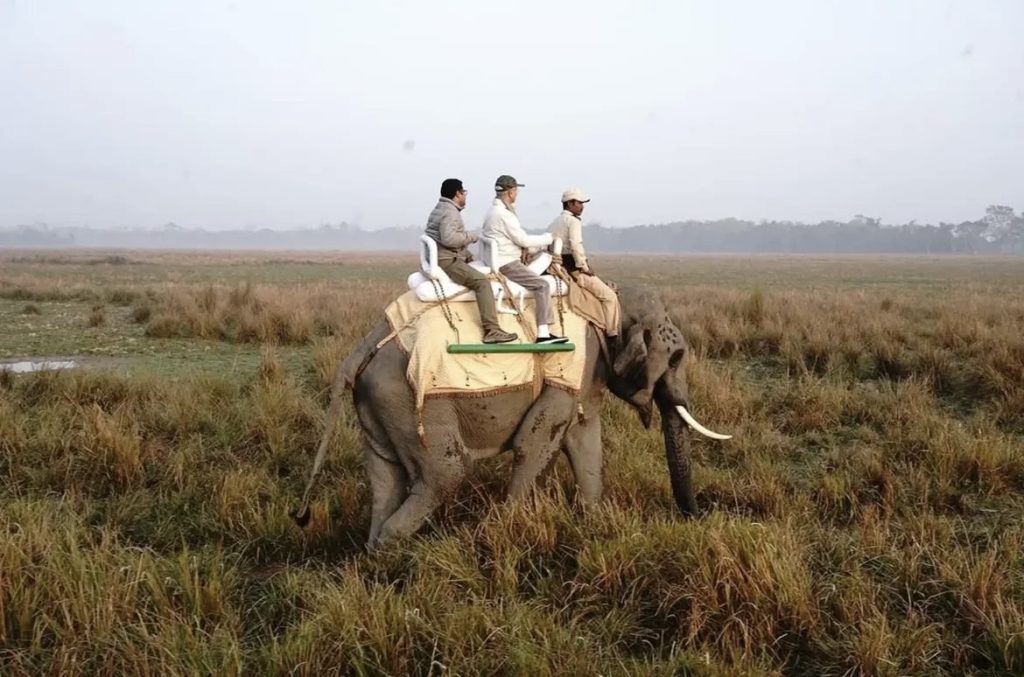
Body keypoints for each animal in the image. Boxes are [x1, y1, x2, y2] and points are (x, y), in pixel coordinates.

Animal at [294, 284, 730, 548]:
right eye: (676, 357)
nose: (696, 518)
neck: (607, 299)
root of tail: (365, 344)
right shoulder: (571, 365)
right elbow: (534, 444)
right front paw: (509, 528)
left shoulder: (587, 372)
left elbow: (585, 440)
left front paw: (592, 523)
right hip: (410, 399)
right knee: (445, 473)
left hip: (378, 404)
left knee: (385, 479)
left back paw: (376, 559)